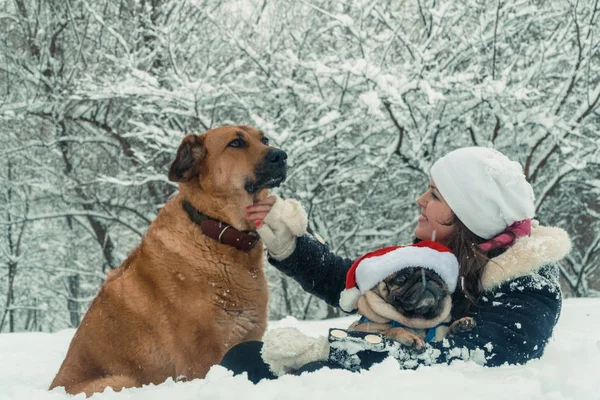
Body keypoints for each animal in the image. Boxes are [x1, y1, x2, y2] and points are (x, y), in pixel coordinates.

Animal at [50, 126, 288, 396]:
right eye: (236, 143)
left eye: (264, 139)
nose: (281, 155)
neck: (214, 231)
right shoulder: (201, 358)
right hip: (123, 381)